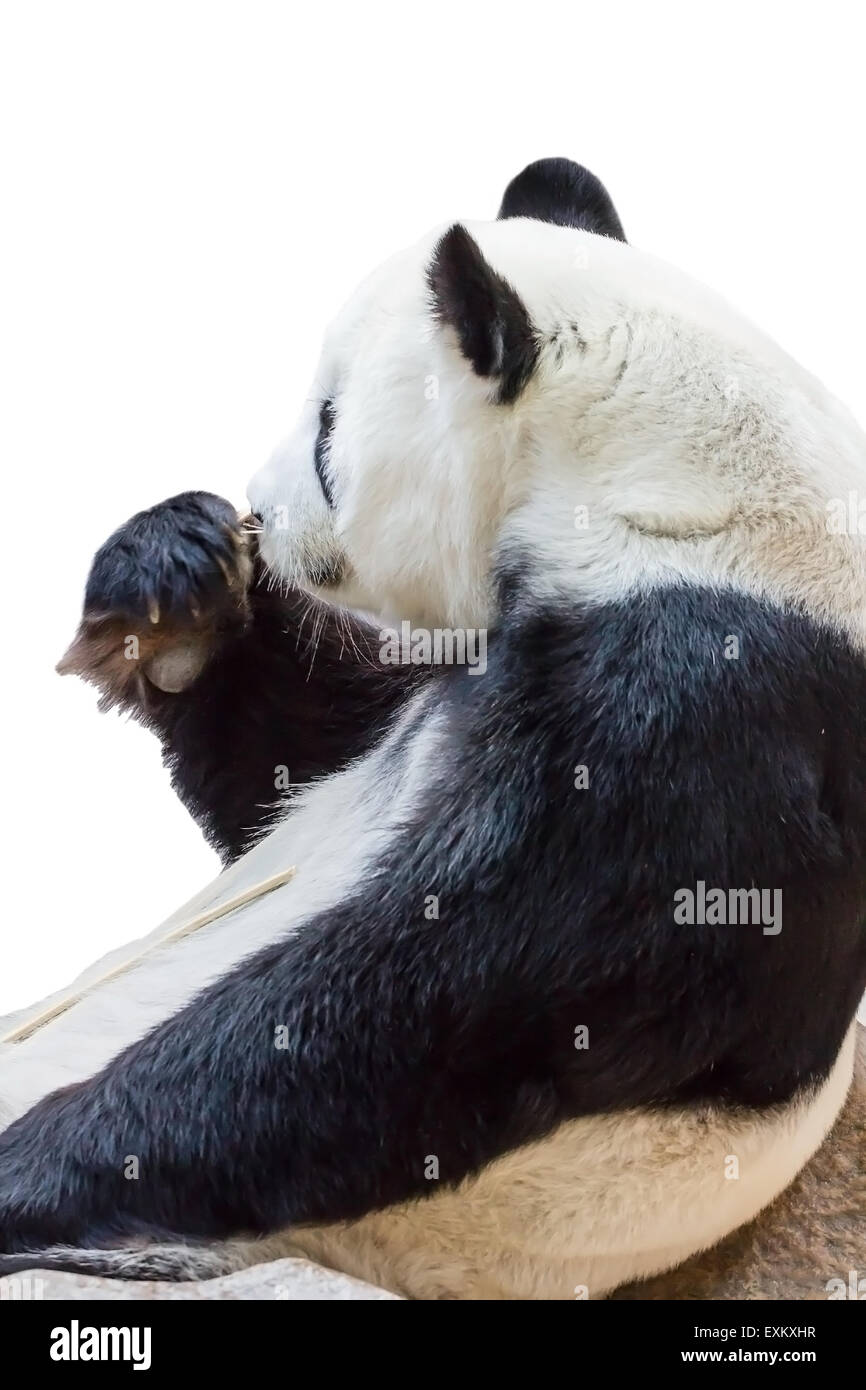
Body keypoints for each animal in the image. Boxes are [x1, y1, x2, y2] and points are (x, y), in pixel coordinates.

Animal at [1, 157, 866, 1295]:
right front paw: (175, 574)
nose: (258, 504)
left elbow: (418, 1017)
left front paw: (22, 1163)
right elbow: (290, 763)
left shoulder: (702, 713)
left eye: (329, 432)